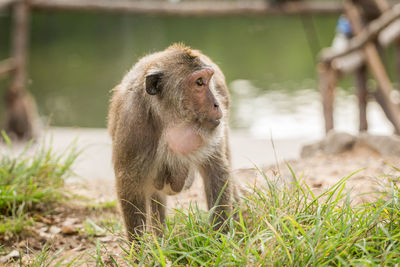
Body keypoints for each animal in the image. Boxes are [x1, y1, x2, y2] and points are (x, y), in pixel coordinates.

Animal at [108, 43, 234, 241]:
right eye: (199, 82)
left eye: (208, 80)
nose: (217, 104)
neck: (170, 121)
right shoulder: (133, 126)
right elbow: (130, 186)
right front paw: (139, 249)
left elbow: (216, 171)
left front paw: (220, 240)